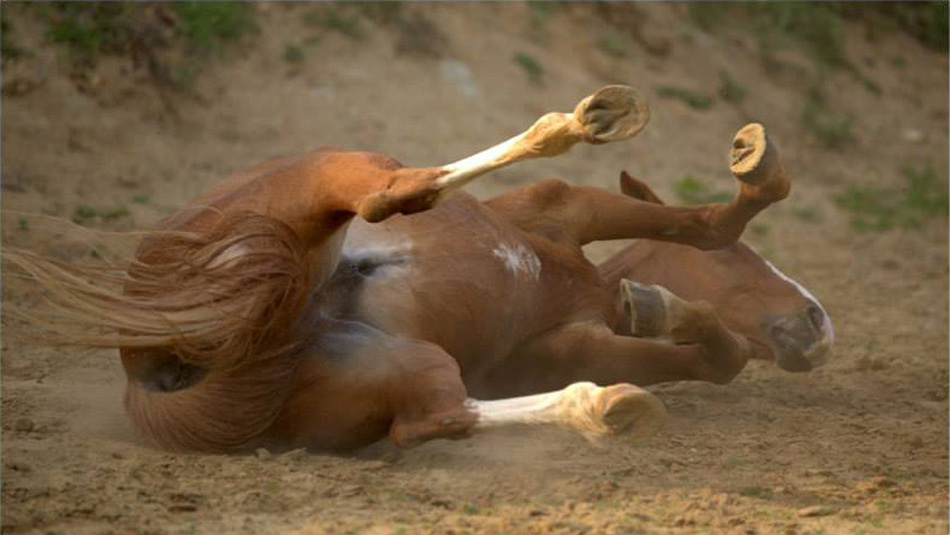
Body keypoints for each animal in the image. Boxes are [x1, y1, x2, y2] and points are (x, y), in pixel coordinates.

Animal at [5, 86, 832, 454]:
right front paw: (754, 173)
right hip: (321, 181)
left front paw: (653, 305)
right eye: (739, 262)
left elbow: (714, 347)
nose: (819, 321)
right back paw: (587, 117)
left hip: (396, 359)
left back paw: (605, 406)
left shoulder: (571, 335)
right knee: (391, 191)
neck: (579, 279)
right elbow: (707, 229)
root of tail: (153, 362)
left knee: (433, 417)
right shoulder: (562, 208)